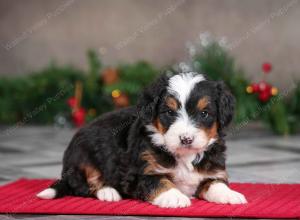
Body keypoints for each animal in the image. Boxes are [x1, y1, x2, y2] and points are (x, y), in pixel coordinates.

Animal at [37, 72, 246, 208]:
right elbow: (160, 182)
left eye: (204, 113)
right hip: (83, 157)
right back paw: (108, 192)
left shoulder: (213, 170)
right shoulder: (140, 174)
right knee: (83, 185)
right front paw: (174, 197)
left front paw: (230, 195)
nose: (186, 139)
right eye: (169, 112)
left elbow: (216, 183)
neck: (184, 155)